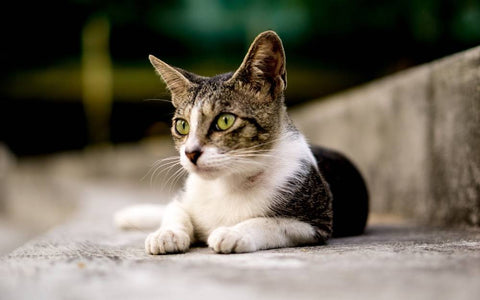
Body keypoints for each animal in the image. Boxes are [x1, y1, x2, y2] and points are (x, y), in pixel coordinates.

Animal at [114, 30, 370, 254]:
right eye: (182, 126)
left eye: (225, 120)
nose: (190, 153)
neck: (229, 183)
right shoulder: (187, 196)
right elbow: (176, 211)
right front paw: (167, 234)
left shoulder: (317, 221)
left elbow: (271, 223)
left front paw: (234, 233)